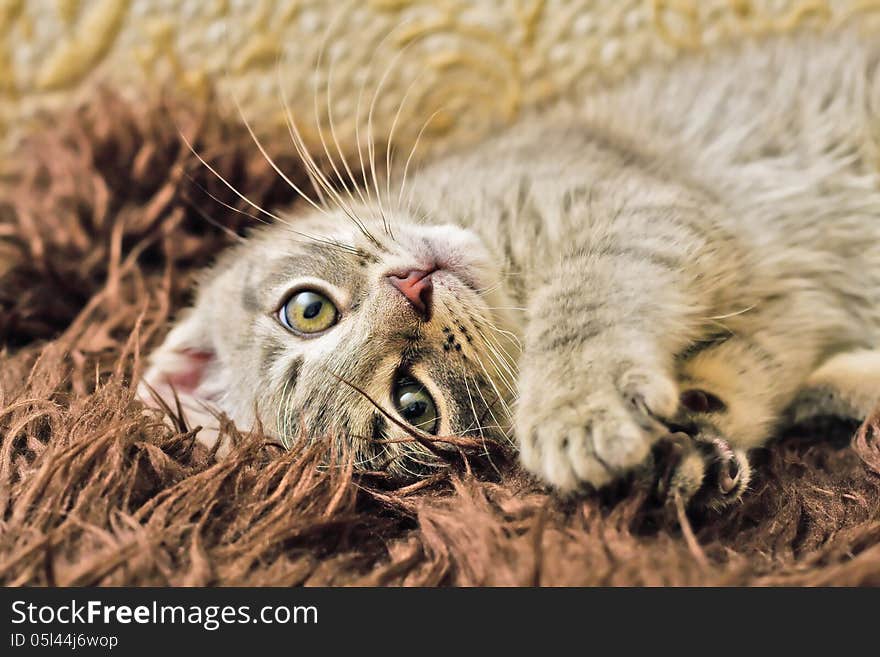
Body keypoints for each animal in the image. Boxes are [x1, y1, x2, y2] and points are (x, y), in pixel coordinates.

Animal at [141, 29, 880, 512]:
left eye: (307, 309)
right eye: (414, 403)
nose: (413, 290)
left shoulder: (640, 206)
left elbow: (586, 293)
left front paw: (574, 402)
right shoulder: (769, 313)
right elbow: (754, 374)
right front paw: (684, 451)